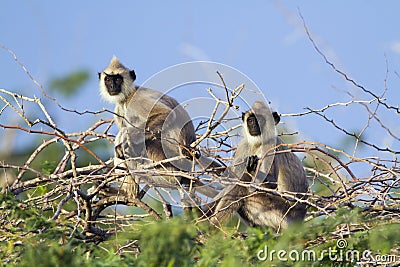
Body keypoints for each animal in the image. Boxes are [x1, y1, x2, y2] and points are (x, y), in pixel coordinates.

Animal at [209, 101, 310, 231]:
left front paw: (252, 168)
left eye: (260, 120)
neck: (258, 143)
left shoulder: (272, 147)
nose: (254, 126)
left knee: (243, 182)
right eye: (251, 120)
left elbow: (272, 184)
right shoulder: (243, 146)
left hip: (278, 211)